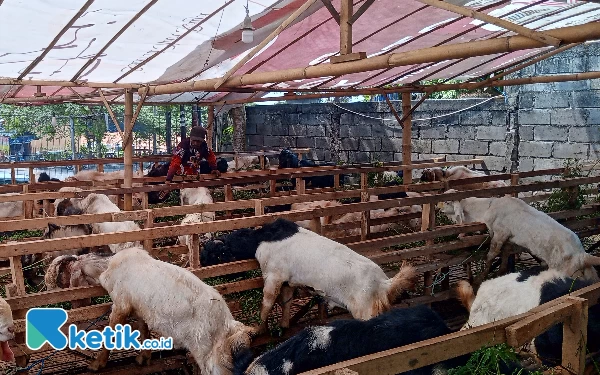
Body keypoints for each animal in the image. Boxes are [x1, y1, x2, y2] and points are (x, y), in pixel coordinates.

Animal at [88, 247, 256, 374]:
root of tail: (227, 323)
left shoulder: (121, 303)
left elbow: (111, 332)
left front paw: (95, 366)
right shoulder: (140, 307)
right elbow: (143, 329)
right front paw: (142, 359)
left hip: (205, 350)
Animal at [438, 195, 596, 286]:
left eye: (447, 202)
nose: (438, 208)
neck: (487, 208)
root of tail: (582, 255)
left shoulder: (500, 233)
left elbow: (491, 255)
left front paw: (479, 279)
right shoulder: (509, 239)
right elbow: (505, 255)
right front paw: (500, 273)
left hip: (566, 269)